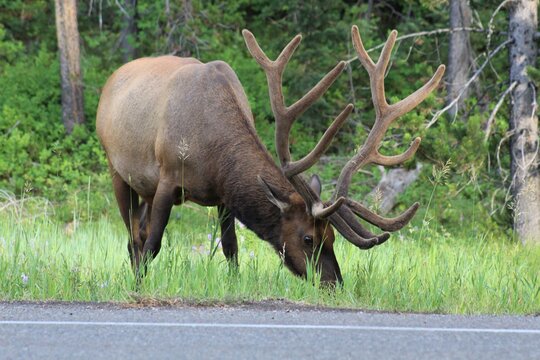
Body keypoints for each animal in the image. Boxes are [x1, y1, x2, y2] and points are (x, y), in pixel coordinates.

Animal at [96, 25, 442, 284]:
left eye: (331, 237)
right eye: (308, 238)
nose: (333, 283)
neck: (212, 151)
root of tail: (111, 79)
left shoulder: (223, 194)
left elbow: (231, 248)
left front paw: (234, 284)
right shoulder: (169, 177)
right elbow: (153, 244)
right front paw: (140, 286)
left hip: (145, 188)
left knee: (138, 231)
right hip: (118, 171)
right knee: (134, 237)